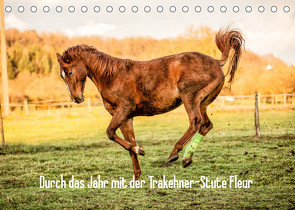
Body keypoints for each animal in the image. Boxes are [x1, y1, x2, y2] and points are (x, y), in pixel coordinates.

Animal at [56, 27, 244, 179]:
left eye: (69, 72)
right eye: (62, 75)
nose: (76, 98)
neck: (113, 77)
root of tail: (217, 62)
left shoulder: (123, 110)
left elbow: (110, 133)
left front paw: (141, 150)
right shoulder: (126, 118)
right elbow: (128, 142)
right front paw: (137, 175)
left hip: (190, 98)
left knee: (195, 122)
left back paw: (175, 153)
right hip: (203, 102)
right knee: (206, 125)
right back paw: (186, 158)